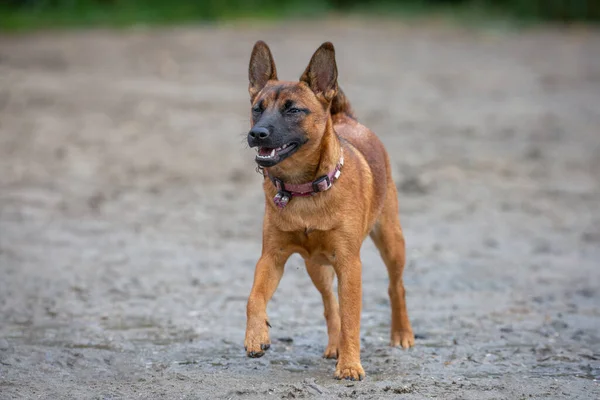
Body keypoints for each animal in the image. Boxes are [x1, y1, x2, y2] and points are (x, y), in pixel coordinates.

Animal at [244, 40, 412, 382]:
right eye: (257, 108)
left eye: (293, 110)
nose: (257, 134)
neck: (304, 190)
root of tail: (346, 118)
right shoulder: (271, 258)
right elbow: (254, 298)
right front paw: (256, 336)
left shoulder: (350, 264)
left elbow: (352, 318)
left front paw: (350, 365)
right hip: (316, 267)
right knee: (330, 303)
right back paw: (334, 345)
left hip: (391, 241)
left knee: (395, 287)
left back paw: (402, 334)